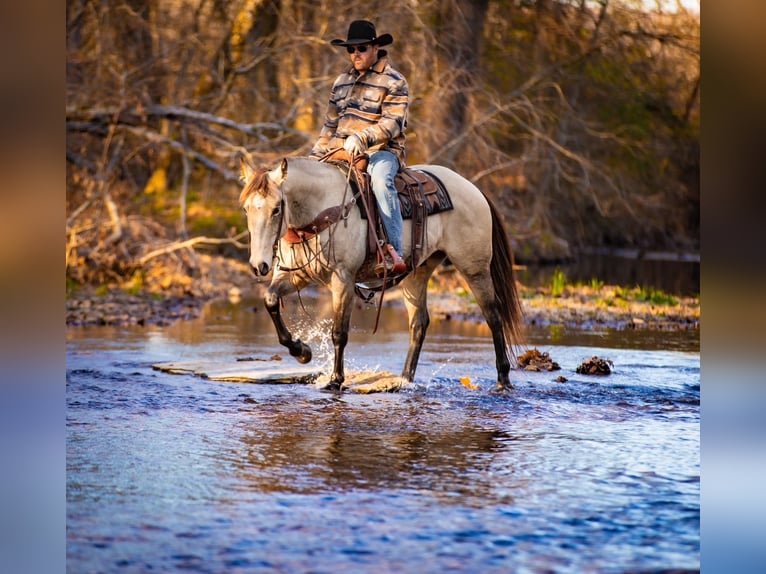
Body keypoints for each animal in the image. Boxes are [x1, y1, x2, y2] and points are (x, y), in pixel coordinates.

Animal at [239, 156, 524, 392]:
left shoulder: (343, 278)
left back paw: (503, 380)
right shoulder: (296, 276)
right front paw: (302, 351)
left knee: (493, 315)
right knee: (419, 323)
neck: (321, 209)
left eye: (276, 208)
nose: (258, 265)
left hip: (474, 268)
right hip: (417, 272)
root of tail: (474, 189)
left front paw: (335, 381)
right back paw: (405, 379)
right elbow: (270, 300)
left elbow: (339, 332)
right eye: (245, 208)